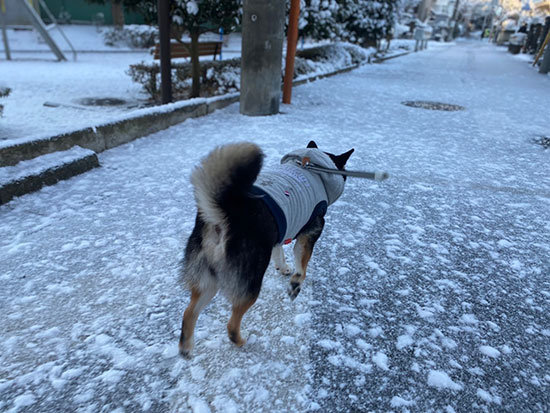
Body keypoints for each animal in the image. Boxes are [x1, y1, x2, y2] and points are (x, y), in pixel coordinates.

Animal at [179, 140, 356, 356]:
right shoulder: (310, 232)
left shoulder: (279, 231)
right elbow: (302, 264)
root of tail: (223, 214)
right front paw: (295, 282)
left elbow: (279, 252)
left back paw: (186, 347)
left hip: (207, 278)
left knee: (189, 312)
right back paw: (241, 341)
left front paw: (284, 268)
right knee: (231, 324)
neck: (314, 169)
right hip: (248, 282)